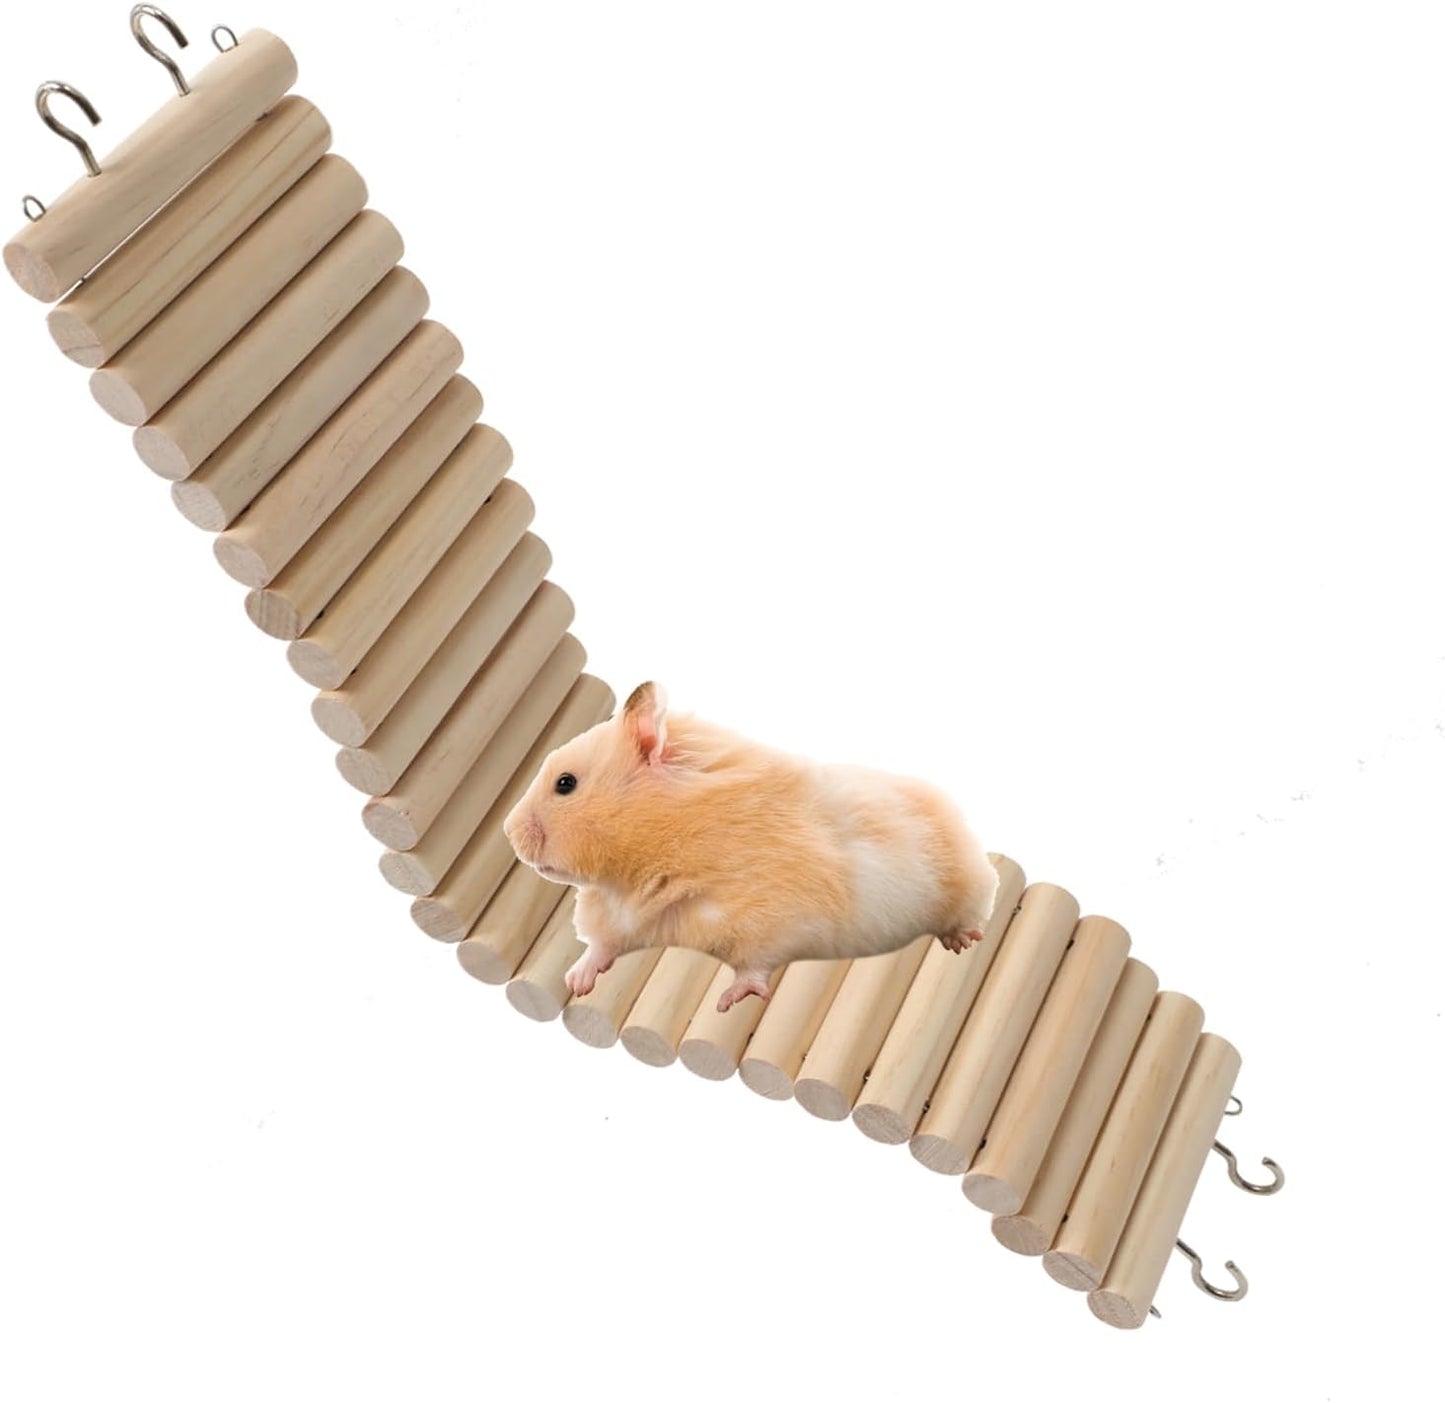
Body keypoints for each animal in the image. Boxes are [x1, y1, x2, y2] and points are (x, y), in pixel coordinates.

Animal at [503, 682, 999, 1013]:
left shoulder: (775, 917)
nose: (509, 832)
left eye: (565, 784)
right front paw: (576, 980)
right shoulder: (619, 915)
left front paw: (728, 1002)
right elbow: (602, 945)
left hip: (964, 885)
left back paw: (963, 941)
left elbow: (754, 964)